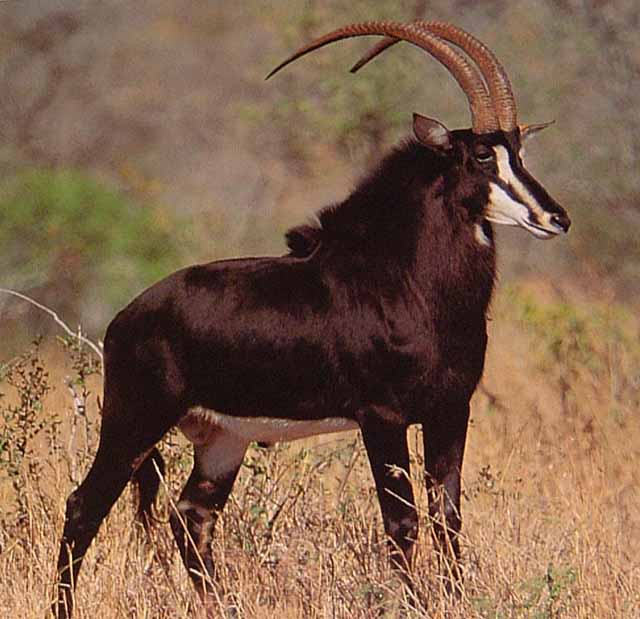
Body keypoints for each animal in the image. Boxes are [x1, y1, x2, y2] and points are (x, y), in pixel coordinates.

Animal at [52, 20, 570, 618]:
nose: (557, 217)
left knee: (192, 517)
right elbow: (402, 523)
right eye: (483, 155)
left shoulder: (450, 411)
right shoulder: (382, 417)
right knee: (83, 506)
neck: (413, 284)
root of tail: (124, 318)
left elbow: (448, 518)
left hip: (222, 438)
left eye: (521, 151)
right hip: (135, 420)